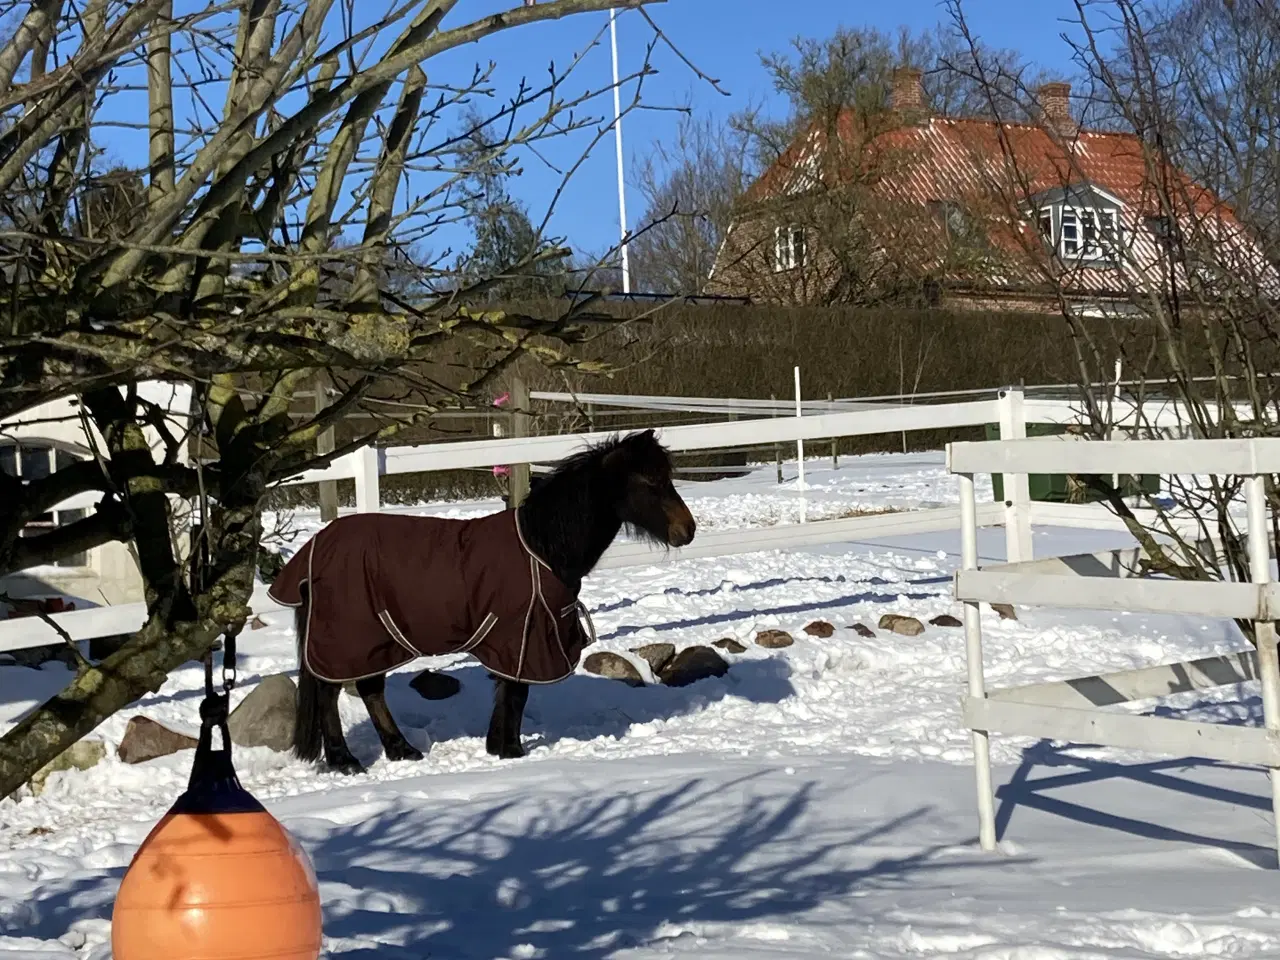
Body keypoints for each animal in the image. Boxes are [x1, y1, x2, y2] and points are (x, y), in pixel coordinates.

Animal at [270, 428, 696, 774]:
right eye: (649, 482)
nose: (687, 530)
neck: (543, 547)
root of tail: (314, 550)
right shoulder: (521, 637)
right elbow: (516, 693)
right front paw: (510, 750)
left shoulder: (515, 640)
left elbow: (509, 692)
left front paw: (499, 745)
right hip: (347, 640)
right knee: (331, 694)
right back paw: (345, 760)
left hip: (375, 642)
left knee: (370, 690)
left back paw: (400, 749)